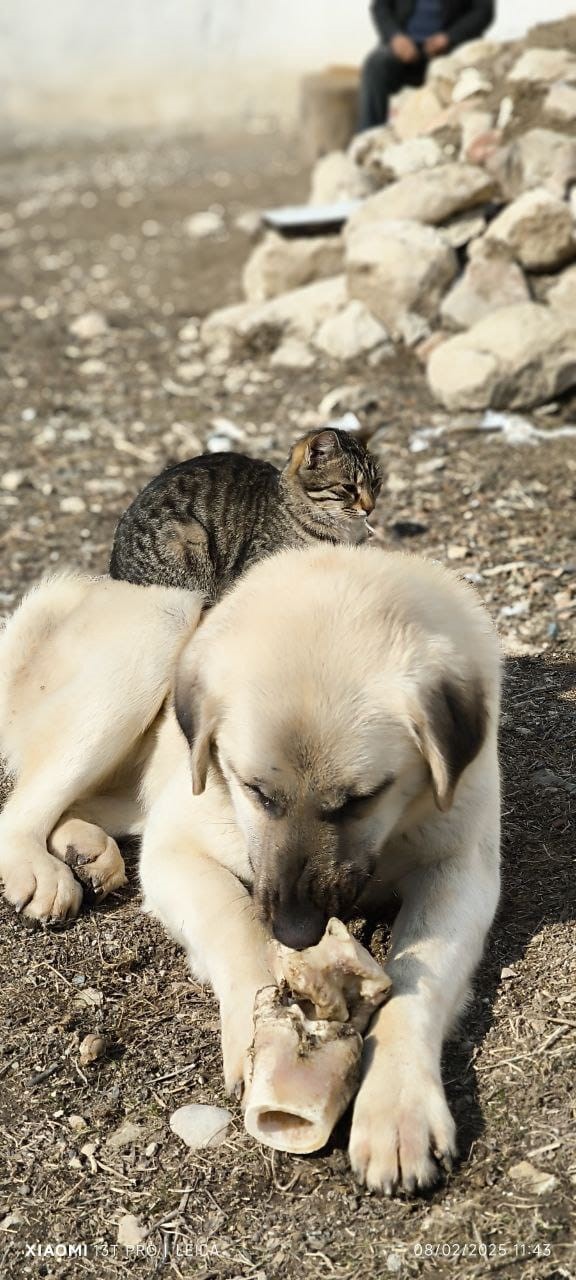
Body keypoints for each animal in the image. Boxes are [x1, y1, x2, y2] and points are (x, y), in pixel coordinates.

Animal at [0, 545, 499, 1192]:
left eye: (361, 800)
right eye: (255, 791)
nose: (297, 931)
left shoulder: (459, 873)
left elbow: (416, 985)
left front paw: (397, 1109)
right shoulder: (176, 851)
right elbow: (234, 923)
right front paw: (260, 1037)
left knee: (82, 805)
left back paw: (85, 848)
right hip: (158, 629)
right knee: (22, 810)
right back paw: (40, 870)